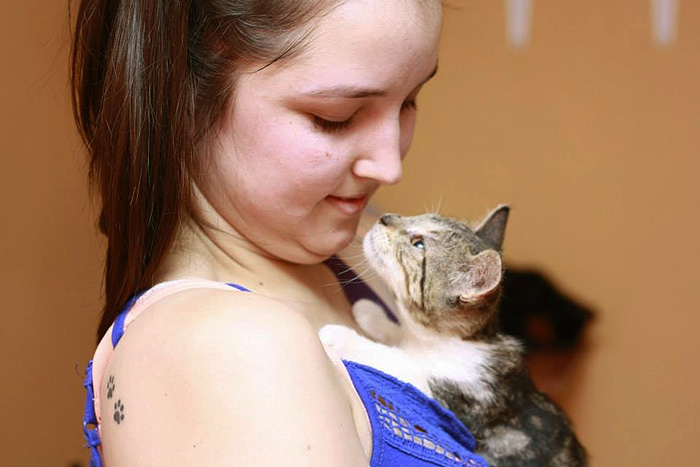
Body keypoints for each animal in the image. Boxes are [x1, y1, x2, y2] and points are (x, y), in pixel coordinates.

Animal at [320, 208, 588, 467]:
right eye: (417, 216)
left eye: (419, 244)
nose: (385, 218)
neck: (443, 341)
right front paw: (372, 314)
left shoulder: (454, 400)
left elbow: (401, 362)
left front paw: (342, 336)